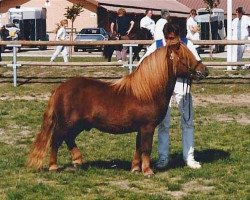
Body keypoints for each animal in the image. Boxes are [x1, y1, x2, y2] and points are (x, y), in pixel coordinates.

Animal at [26, 38, 208, 177]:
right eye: (184, 57)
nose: (204, 71)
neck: (147, 91)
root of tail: (59, 89)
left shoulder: (141, 128)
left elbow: (138, 147)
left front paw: (135, 168)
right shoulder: (147, 127)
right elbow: (146, 148)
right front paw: (147, 171)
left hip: (79, 125)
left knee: (68, 138)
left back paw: (78, 160)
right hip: (67, 123)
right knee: (57, 140)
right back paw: (53, 166)